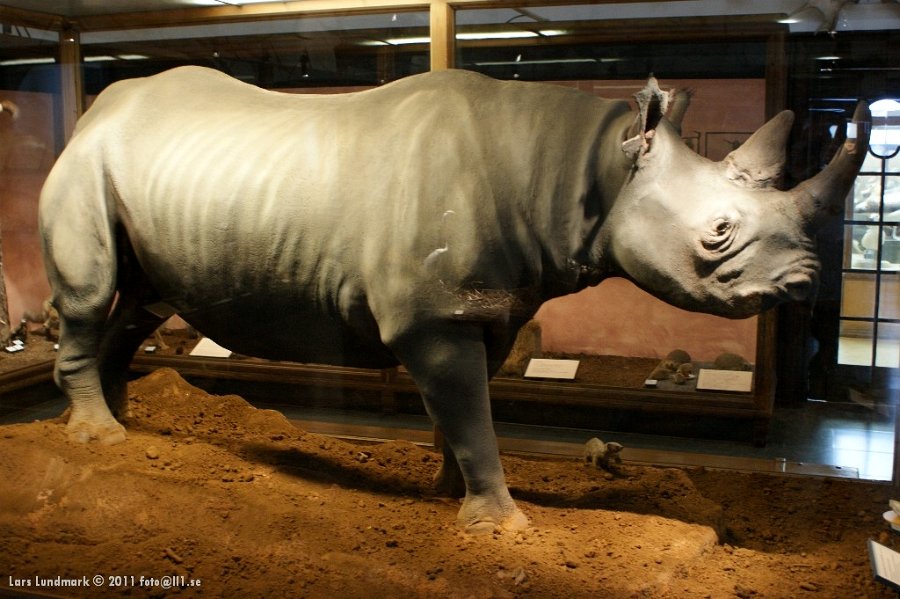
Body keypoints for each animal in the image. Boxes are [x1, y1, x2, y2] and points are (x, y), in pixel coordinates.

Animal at [38, 67, 869, 533]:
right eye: (718, 233)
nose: (803, 283)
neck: (589, 170)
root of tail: (91, 113)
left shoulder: (490, 304)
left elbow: (465, 409)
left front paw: (447, 491)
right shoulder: (433, 314)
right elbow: (468, 407)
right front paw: (501, 525)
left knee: (140, 304)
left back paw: (125, 429)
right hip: (84, 167)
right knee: (90, 295)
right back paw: (98, 437)